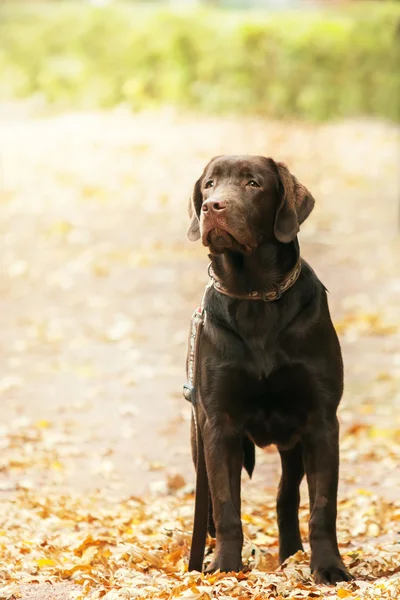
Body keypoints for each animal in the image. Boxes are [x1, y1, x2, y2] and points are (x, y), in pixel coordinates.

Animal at [184, 156, 354, 584]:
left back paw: (291, 554)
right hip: (198, 438)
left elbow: (322, 507)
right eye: (210, 184)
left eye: (253, 183)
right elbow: (226, 506)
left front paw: (329, 568)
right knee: (210, 509)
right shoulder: (219, 424)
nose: (212, 207)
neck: (255, 294)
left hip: (293, 444)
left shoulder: (321, 422)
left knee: (286, 496)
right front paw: (224, 568)